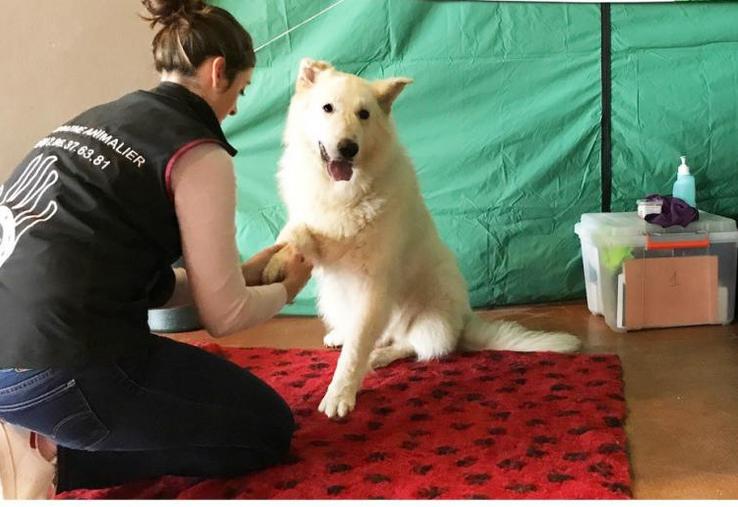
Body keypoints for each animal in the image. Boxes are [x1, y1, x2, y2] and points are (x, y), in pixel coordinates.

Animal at [262, 57, 576, 418]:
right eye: (328, 108)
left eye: (364, 114)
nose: (348, 148)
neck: (343, 191)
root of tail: (463, 322)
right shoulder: (320, 237)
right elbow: (296, 231)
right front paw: (276, 261)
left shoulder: (374, 286)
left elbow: (354, 353)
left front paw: (340, 394)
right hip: (334, 298)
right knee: (379, 335)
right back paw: (346, 336)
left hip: (426, 316)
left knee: (412, 346)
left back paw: (379, 356)